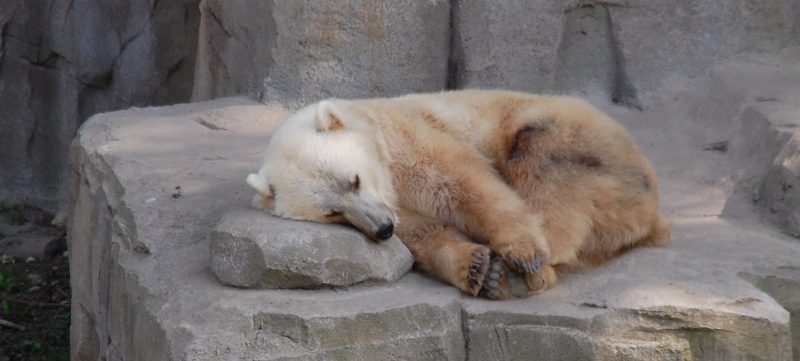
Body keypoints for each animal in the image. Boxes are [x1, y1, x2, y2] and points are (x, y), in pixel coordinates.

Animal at [247, 90, 672, 298]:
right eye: (332, 212)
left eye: (354, 179)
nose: (382, 229)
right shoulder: (396, 205)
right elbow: (422, 232)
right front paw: (474, 266)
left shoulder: (409, 136)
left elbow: (459, 182)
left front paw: (520, 251)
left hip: (581, 141)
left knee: (545, 162)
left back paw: (525, 269)